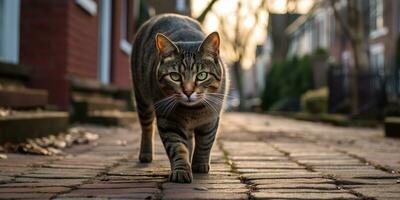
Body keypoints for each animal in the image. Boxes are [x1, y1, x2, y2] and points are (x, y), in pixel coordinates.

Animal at [130, 13, 227, 183]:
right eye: (175, 76)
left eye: (202, 75)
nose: (188, 91)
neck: (193, 111)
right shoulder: (168, 120)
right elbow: (177, 147)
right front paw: (182, 170)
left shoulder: (211, 118)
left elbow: (205, 142)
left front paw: (199, 164)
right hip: (142, 99)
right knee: (147, 128)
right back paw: (146, 154)